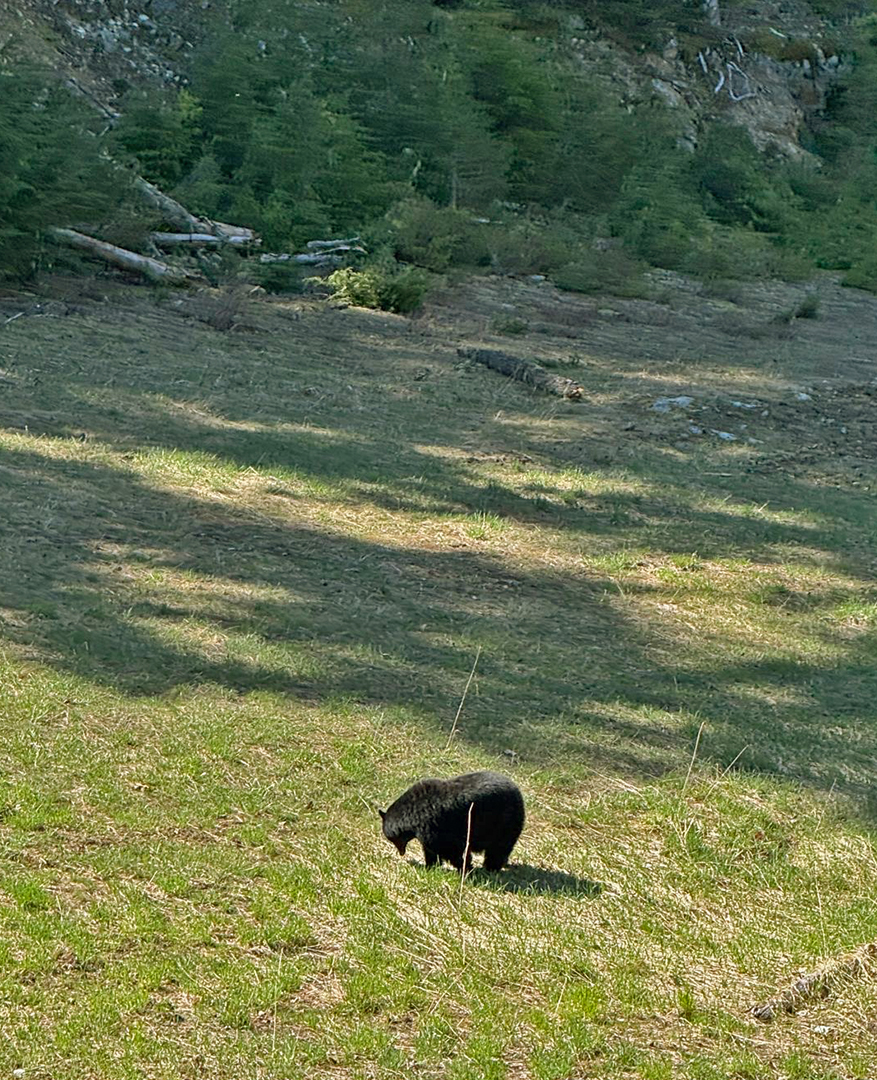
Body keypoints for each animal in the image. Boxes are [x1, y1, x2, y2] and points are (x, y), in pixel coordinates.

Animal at [379, 771, 524, 873]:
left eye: (392, 839)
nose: (401, 853)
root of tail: (518, 792)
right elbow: (431, 850)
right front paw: (430, 866)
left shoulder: (434, 826)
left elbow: (449, 849)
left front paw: (465, 868)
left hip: (503, 823)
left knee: (499, 848)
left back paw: (491, 867)